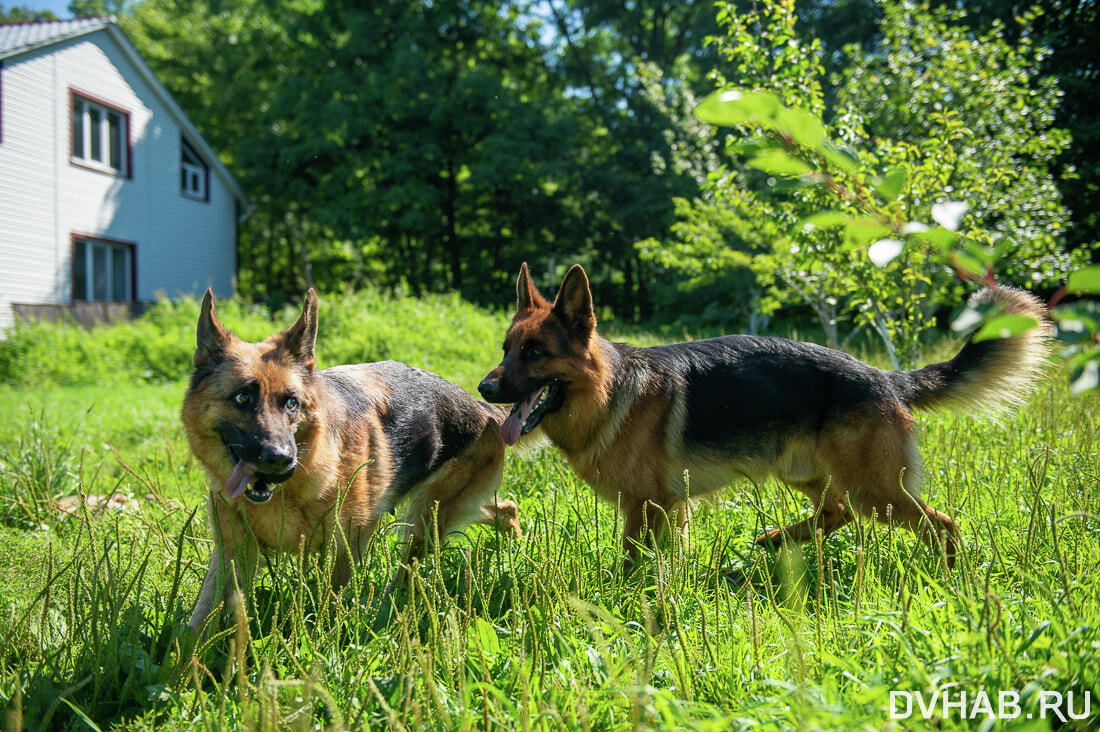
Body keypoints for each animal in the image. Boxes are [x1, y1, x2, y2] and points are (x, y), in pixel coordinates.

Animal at [181, 288, 519, 629]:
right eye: (242, 398)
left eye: (291, 403)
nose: (280, 459)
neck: (289, 491)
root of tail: (482, 408)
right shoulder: (231, 557)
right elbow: (196, 627)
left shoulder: (346, 546)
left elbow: (330, 603)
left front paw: (322, 635)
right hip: (439, 512)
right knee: (504, 509)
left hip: (425, 520)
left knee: (409, 567)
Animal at [479, 263, 1047, 563]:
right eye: (506, 349)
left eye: (535, 354)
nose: (485, 388)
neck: (607, 391)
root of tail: (886, 377)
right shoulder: (670, 507)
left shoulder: (647, 507)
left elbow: (633, 562)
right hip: (806, 472)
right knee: (836, 512)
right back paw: (776, 540)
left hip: (876, 491)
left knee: (942, 524)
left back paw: (951, 578)